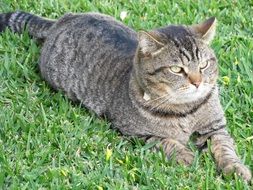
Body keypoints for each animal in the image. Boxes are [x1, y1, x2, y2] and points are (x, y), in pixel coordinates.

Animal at [0, 10, 251, 183]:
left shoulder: (215, 128)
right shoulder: (138, 134)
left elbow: (226, 150)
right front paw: (187, 157)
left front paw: (237, 170)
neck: (186, 111)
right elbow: (168, 142)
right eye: (176, 70)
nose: (198, 82)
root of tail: (63, 19)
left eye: (204, 65)